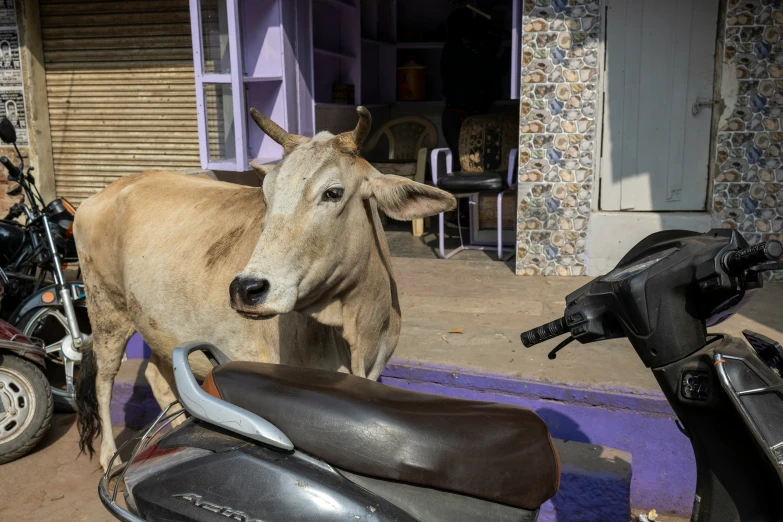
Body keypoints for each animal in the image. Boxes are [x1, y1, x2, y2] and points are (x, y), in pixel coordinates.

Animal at [74, 106, 456, 468]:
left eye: (333, 193)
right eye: (266, 197)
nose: (246, 288)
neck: (356, 326)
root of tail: (102, 193)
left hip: (162, 327)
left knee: (157, 374)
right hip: (106, 310)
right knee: (103, 381)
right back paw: (109, 456)